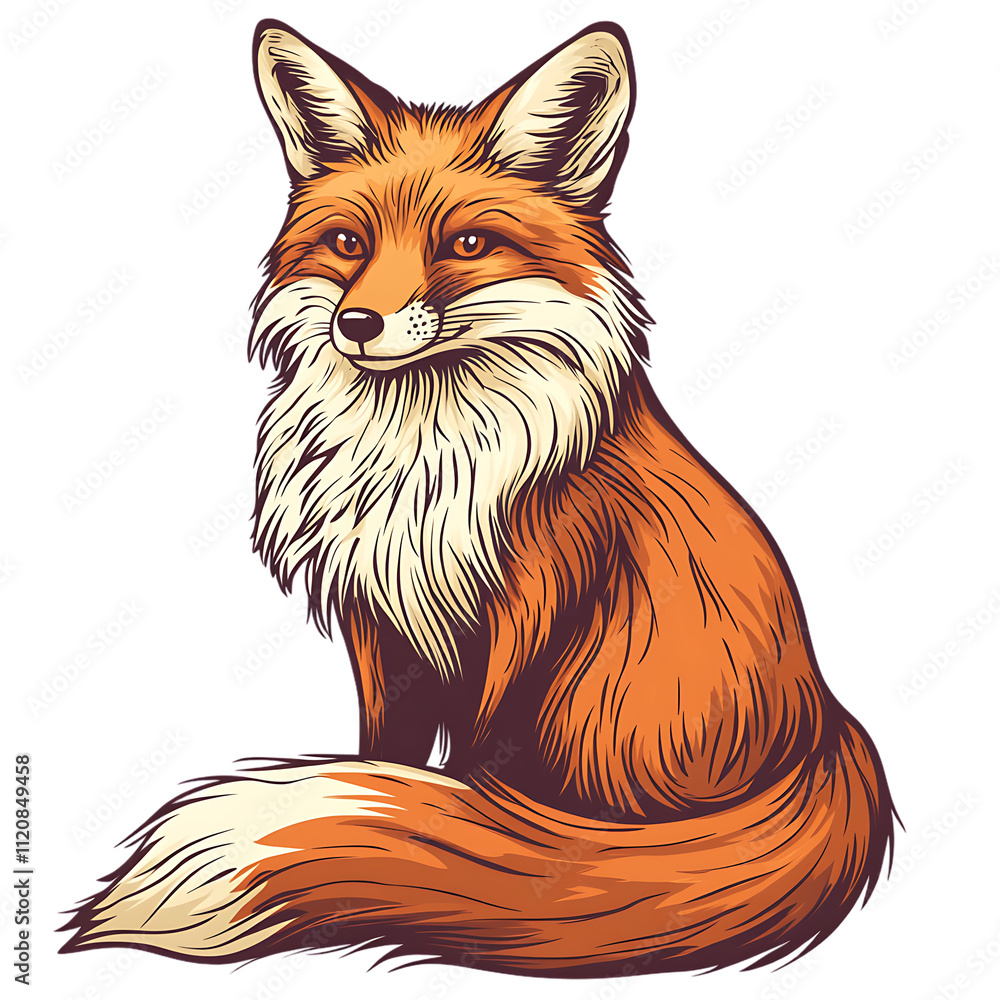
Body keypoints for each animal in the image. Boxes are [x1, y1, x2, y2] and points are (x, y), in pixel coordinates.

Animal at [61, 20, 896, 977]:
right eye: (348, 244)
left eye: (464, 246)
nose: (357, 324)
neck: (417, 456)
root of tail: (824, 724)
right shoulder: (380, 621)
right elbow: (384, 758)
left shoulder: (526, 615)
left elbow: (476, 797)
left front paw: (459, 847)